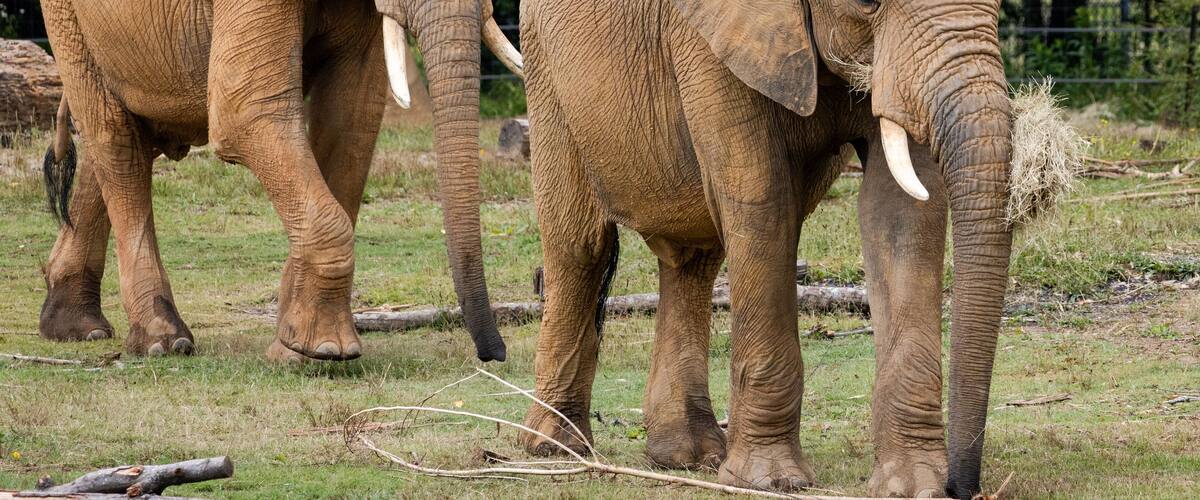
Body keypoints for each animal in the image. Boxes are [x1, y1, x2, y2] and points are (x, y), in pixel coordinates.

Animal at [37, 0, 521, 362]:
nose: (494, 354)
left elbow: (353, 116)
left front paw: (295, 350)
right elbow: (245, 111)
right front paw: (325, 349)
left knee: (130, 135)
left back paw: (76, 328)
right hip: (66, 16)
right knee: (115, 138)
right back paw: (164, 342)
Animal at [518, 0, 1012, 497]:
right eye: (867, 4)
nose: (962, 487)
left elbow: (904, 208)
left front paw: (914, 486)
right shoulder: (710, 41)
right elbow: (761, 199)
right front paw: (770, 480)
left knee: (692, 258)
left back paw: (685, 456)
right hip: (544, 70)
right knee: (581, 245)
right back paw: (554, 447)